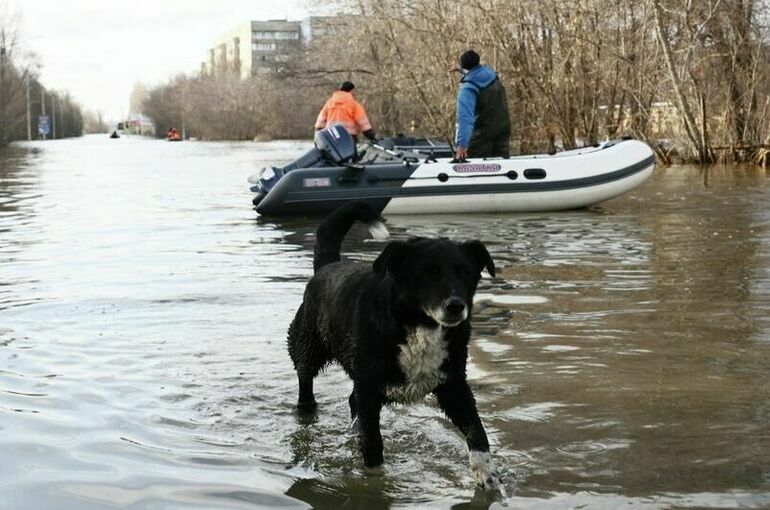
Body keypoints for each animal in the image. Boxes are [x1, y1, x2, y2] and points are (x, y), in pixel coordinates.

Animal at [288, 201, 498, 488]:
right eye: (428, 274)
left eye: (465, 272)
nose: (456, 306)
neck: (418, 325)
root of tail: (327, 267)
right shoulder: (369, 388)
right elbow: (373, 445)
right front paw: (375, 484)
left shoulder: (453, 385)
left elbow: (477, 430)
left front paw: (488, 476)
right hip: (307, 347)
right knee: (305, 380)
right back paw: (307, 410)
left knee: (352, 402)